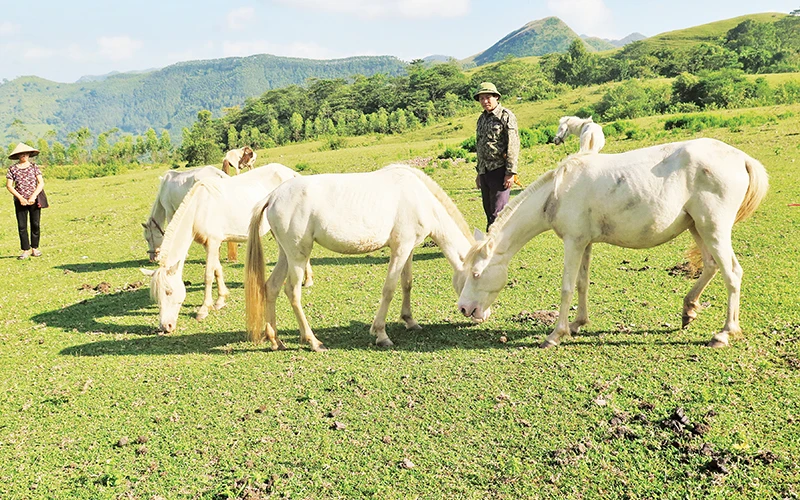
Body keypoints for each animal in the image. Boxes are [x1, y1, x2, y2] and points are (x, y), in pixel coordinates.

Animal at [141, 163, 310, 332]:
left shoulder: (213, 242)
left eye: (169, 292)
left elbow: (208, 275)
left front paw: (204, 309)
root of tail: (290, 173)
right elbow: (217, 269)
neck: (200, 208)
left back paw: (307, 281)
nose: (165, 326)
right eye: (156, 296)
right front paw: (220, 300)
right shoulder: (210, 244)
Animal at [244, 164, 476, 352]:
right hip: (298, 255)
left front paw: (410, 321)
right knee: (292, 291)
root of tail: (273, 196)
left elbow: (406, 283)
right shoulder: (400, 249)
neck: (419, 198)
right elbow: (389, 289)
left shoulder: (408, 248)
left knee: (271, 287)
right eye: (476, 274)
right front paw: (381, 335)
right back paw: (313, 341)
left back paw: (276, 341)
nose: (476, 314)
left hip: (286, 255)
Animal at [460, 137, 772, 348]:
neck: (557, 192)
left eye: (476, 274)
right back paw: (689, 309)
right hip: (697, 227)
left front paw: (556, 334)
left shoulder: (573, 242)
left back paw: (725, 333)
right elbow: (582, 284)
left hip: (713, 228)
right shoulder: (584, 243)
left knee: (732, 273)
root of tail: (741, 158)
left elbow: (566, 288)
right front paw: (577, 324)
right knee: (710, 265)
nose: (464, 309)